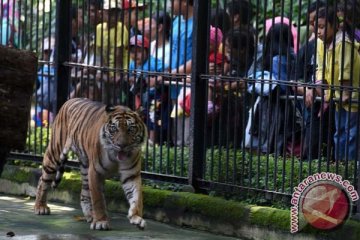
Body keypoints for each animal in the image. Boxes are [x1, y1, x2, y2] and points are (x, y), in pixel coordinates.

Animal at [33, 98, 146, 231]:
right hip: (54, 154)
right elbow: (98, 200)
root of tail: (69, 100)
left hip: (85, 166)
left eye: (130, 129)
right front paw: (101, 221)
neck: (115, 156)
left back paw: (90, 215)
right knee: (42, 181)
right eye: (114, 129)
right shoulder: (96, 172)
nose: (121, 145)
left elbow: (136, 197)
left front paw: (136, 218)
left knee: (84, 193)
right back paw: (40, 207)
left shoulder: (131, 175)